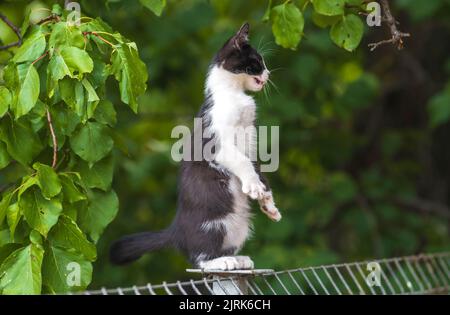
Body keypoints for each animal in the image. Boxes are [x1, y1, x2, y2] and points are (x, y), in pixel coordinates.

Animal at [110, 24, 280, 272]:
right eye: (258, 61)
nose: (268, 74)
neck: (233, 94)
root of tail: (177, 231)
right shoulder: (217, 143)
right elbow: (241, 162)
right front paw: (254, 186)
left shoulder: (250, 143)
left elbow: (256, 167)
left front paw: (268, 204)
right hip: (212, 224)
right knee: (199, 258)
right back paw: (221, 262)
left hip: (238, 226)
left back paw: (238, 259)